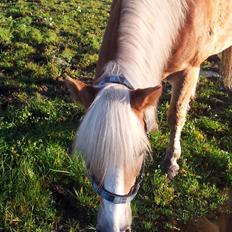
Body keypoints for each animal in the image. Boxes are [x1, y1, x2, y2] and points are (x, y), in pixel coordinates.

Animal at [63, 0, 232, 231]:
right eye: (89, 157)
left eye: (141, 153)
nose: (113, 226)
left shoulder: (189, 70)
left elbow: (176, 114)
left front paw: (171, 162)